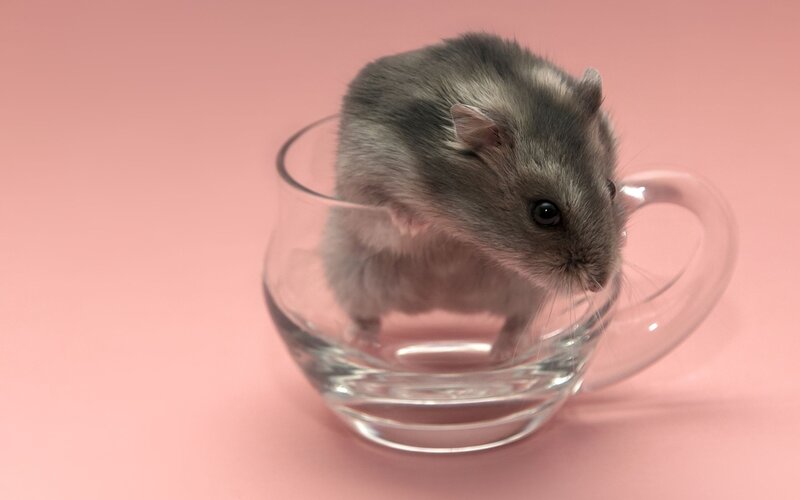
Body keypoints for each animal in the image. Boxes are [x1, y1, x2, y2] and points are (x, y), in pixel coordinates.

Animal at [322, 33, 627, 360]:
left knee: (518, 320)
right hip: (350, 273)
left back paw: (503, 352)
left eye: (612, 188)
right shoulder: (359, 186)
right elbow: (385, 214)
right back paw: (360, 341)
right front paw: (413, 222)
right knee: (365, 316)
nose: (598, 285)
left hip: (526, 291)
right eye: (545, 212)